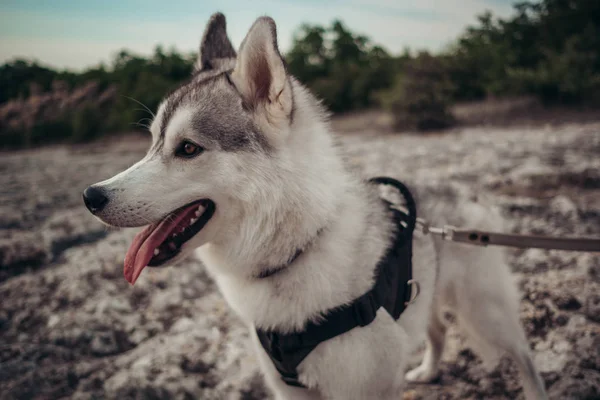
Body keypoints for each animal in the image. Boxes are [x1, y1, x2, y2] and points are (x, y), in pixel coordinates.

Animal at [84, 13, 548, 400]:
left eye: (187, 149)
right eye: (153, 143)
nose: (91, 196)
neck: (298, 248)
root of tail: (464, 191)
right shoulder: (289, 388)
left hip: (485, 309)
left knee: (523, 355)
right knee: (435, 331)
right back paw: (427, 371)